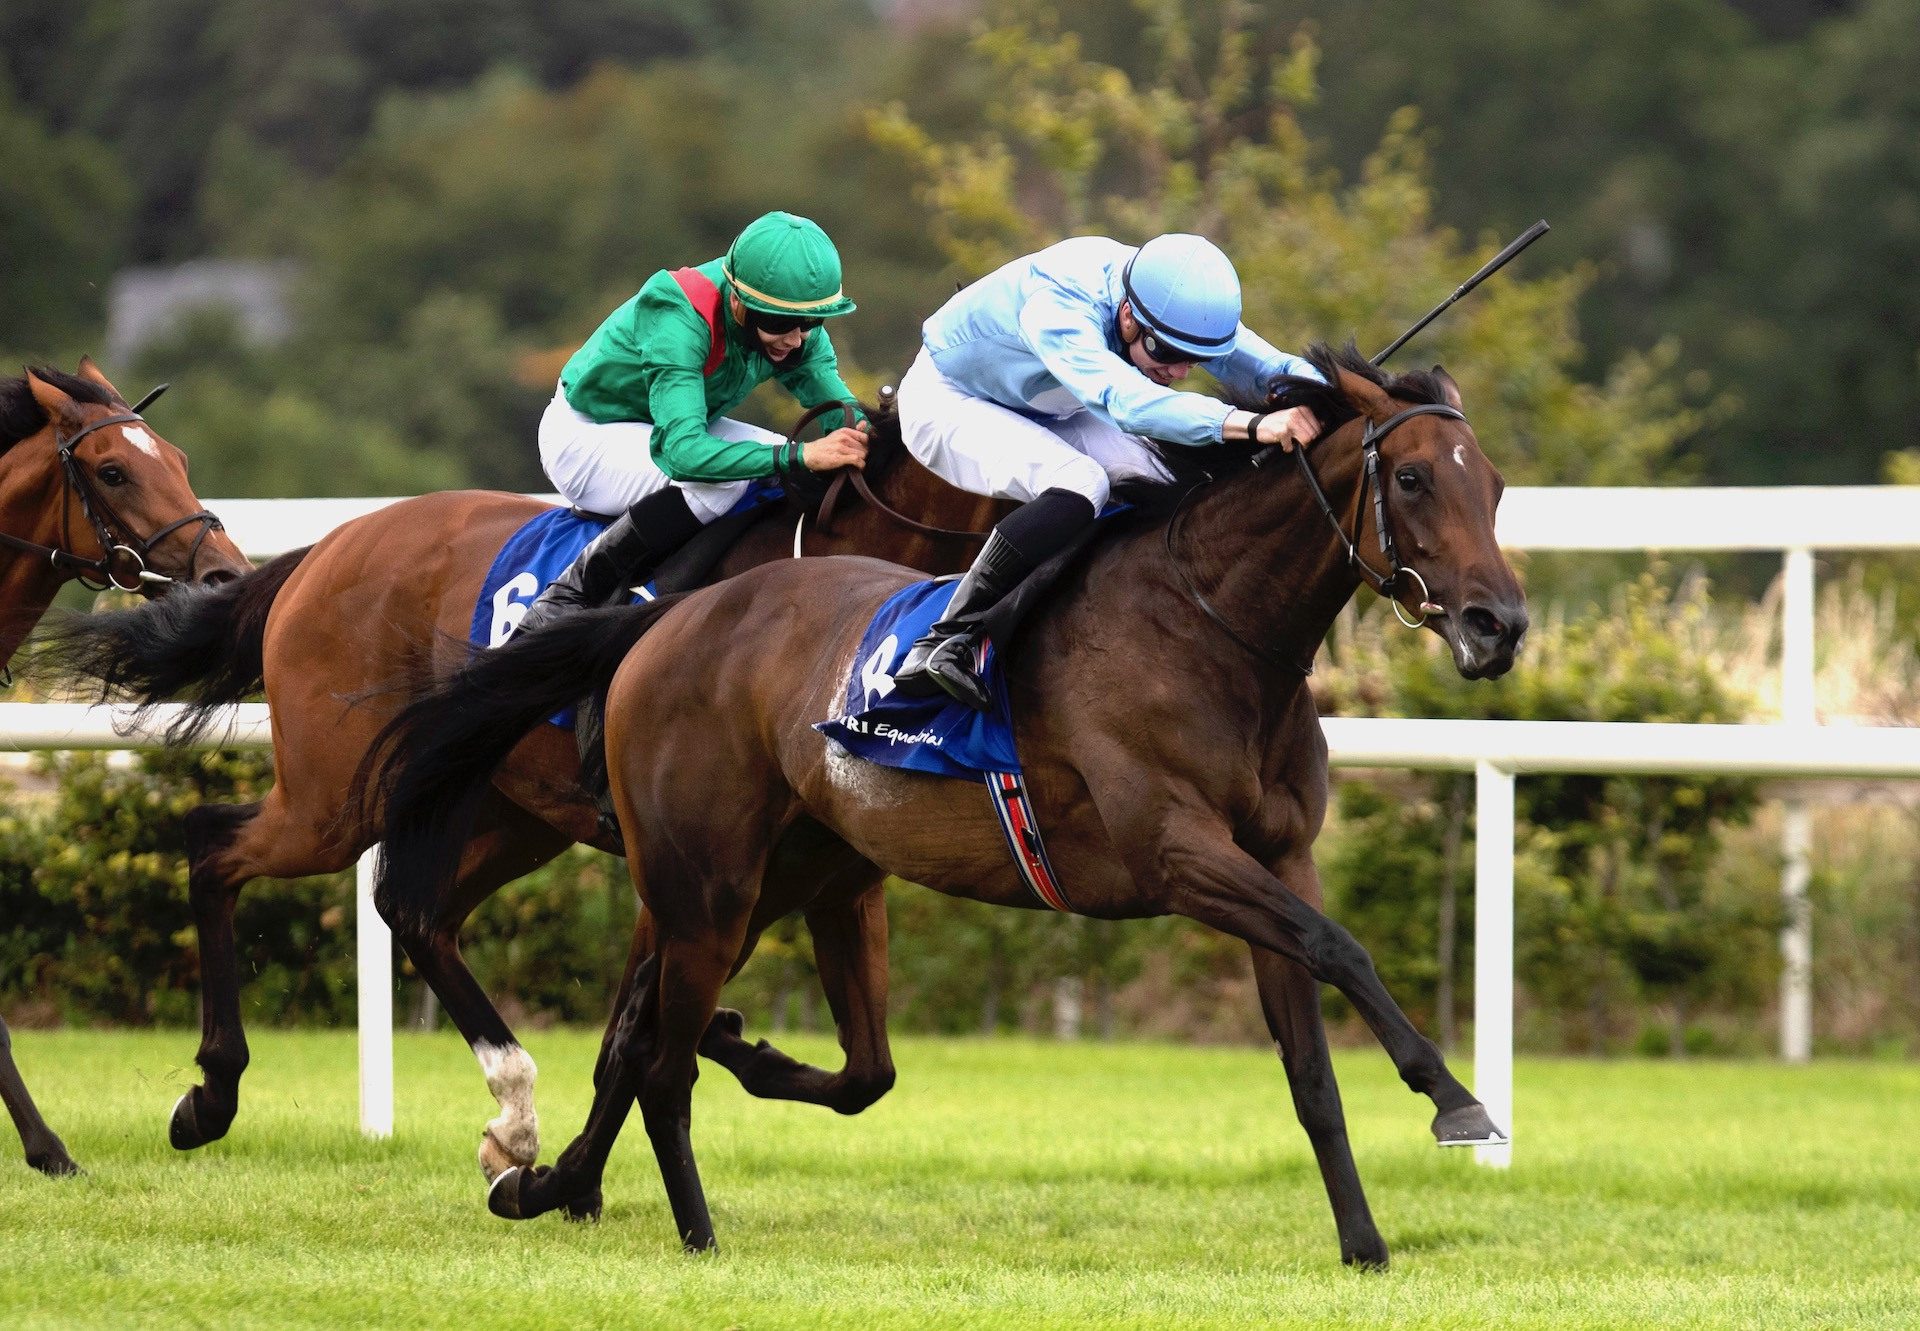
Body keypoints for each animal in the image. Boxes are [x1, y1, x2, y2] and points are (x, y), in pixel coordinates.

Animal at [41, 397, 1006, 1183]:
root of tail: (327, 548)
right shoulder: (689, 868)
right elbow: (640, 1038)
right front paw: (581, 1183)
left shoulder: (772, 870)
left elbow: (773, 1055)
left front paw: (579, 1179)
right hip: (336, 794)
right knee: (216, 842)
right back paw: (213, 1095)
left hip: (509, 810)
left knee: (413, 909)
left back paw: (510, 1113)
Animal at [360, 338, 1528, 1259]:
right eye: (1412, 479)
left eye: (1496, 484)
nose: (1499, 624)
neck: (1208, 628)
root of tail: (666, 616)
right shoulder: (1179, 854)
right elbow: (1341, 947)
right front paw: (1457, 1099)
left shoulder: (1279, 856)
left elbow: (1311, 1068)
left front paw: (1365, 1241)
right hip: (706, 885)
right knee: (655, 1061)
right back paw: (690, 1228)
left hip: (787, 875)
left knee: (725, 1049)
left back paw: (570, 1162)